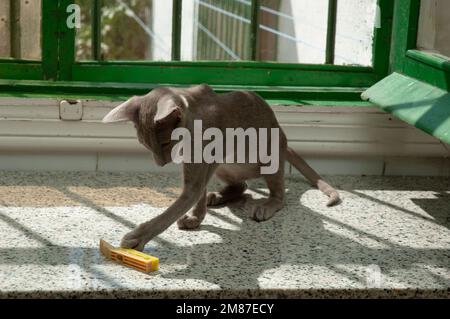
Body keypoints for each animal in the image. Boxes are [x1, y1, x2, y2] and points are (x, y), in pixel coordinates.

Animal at [102, 85, 340, 252]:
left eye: (165, 143)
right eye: (145, 144)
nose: (160, 163)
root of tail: (284, 138)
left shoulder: (197, 174)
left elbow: (172, 210)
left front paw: (137, 237)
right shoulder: (196, 169)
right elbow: (197, 197)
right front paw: (195, 218)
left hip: (269, 155)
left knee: (279, 194)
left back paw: (264, 205)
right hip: (224, 166)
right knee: (242, 186)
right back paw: (216, 196)